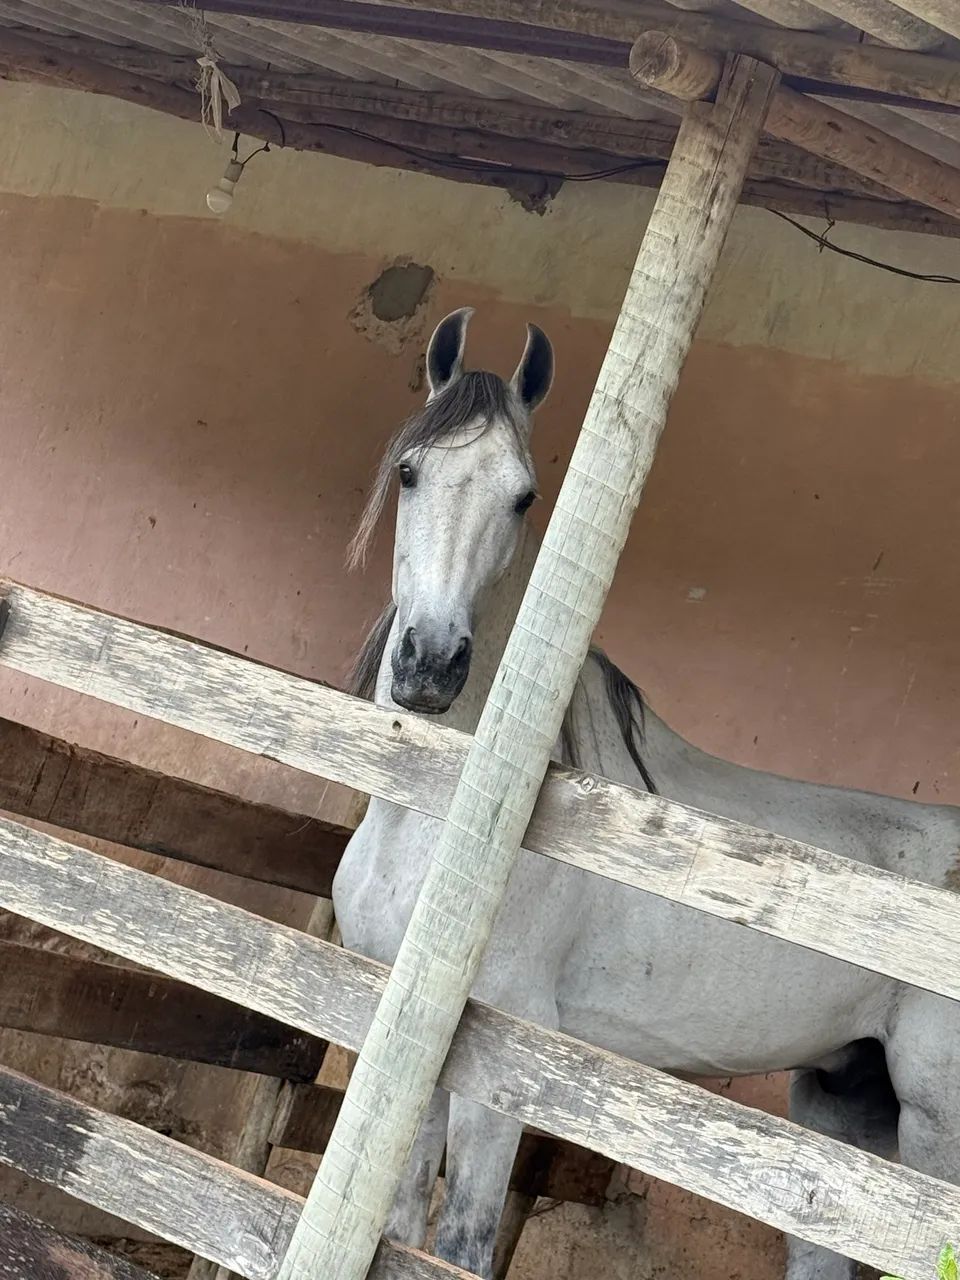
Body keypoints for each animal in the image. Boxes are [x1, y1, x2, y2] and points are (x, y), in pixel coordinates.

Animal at [333, 307, 960, 1280]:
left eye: (523, 497)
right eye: (410, 471)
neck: (448, 827)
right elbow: (396, 1225)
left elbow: (462, 1240)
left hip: (935, 1133)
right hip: (843, 1110)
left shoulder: (499, 1071)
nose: (430, 664)